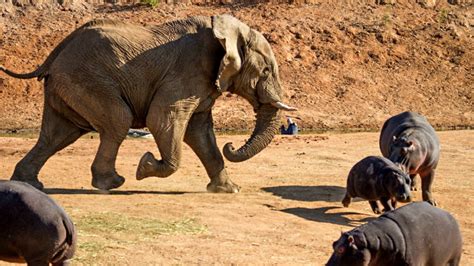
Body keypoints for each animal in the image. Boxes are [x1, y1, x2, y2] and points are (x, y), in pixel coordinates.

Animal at [0, 15, 296, 191]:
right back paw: (112, 183)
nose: (231, 145)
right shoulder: (186, 73)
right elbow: (163, 119)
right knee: (117, 121)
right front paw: (144, 166)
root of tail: (57, 51)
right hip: (85, 79)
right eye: (266, 71)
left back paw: (29, 184)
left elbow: (200, 132)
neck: (224, 31)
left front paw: (228, 190)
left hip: (67, 84)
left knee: (59, 134)